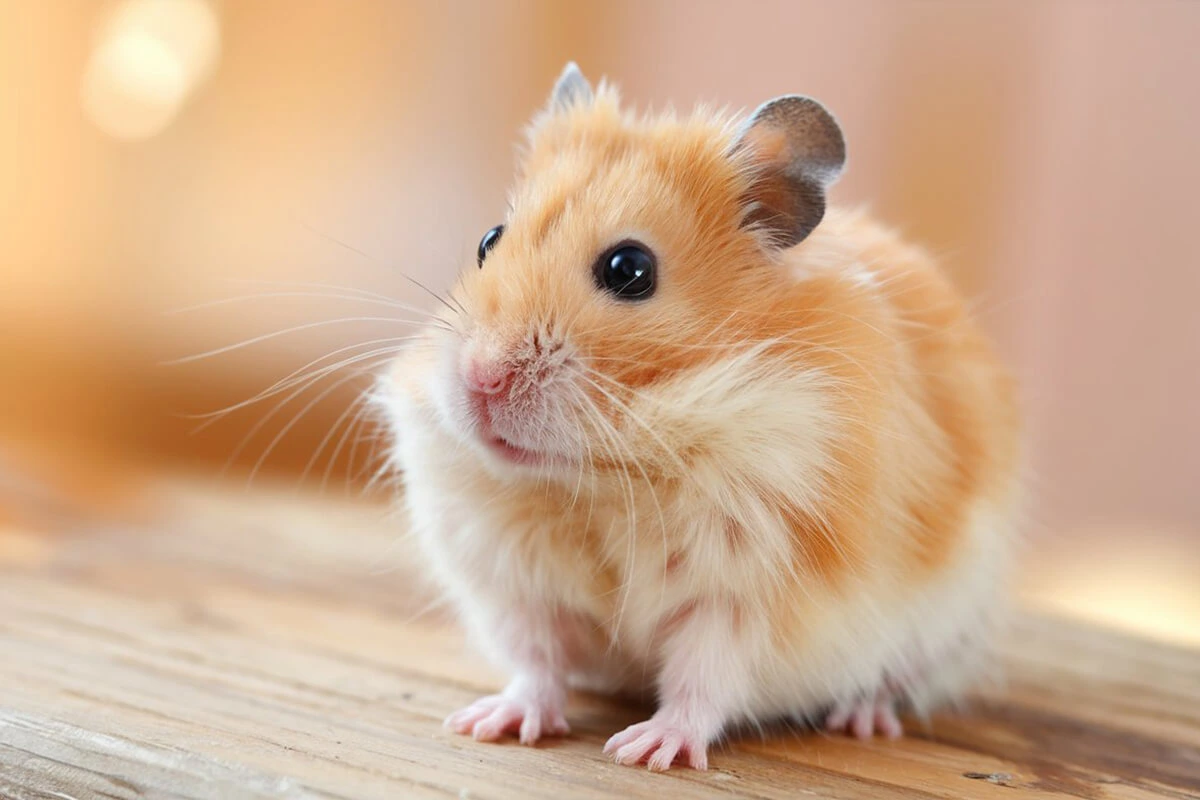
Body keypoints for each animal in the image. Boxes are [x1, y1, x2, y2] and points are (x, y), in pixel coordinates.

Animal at [381, 65, 1022, 772]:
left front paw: (645, 750)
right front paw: (489, 724)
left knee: (894, 679)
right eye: (487, 241)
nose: (481, 380)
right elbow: (536, 661)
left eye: (630, 269)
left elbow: (704, 677)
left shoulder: (745, 592)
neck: (604, 476)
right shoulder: (513, 580)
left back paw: (864, 720)